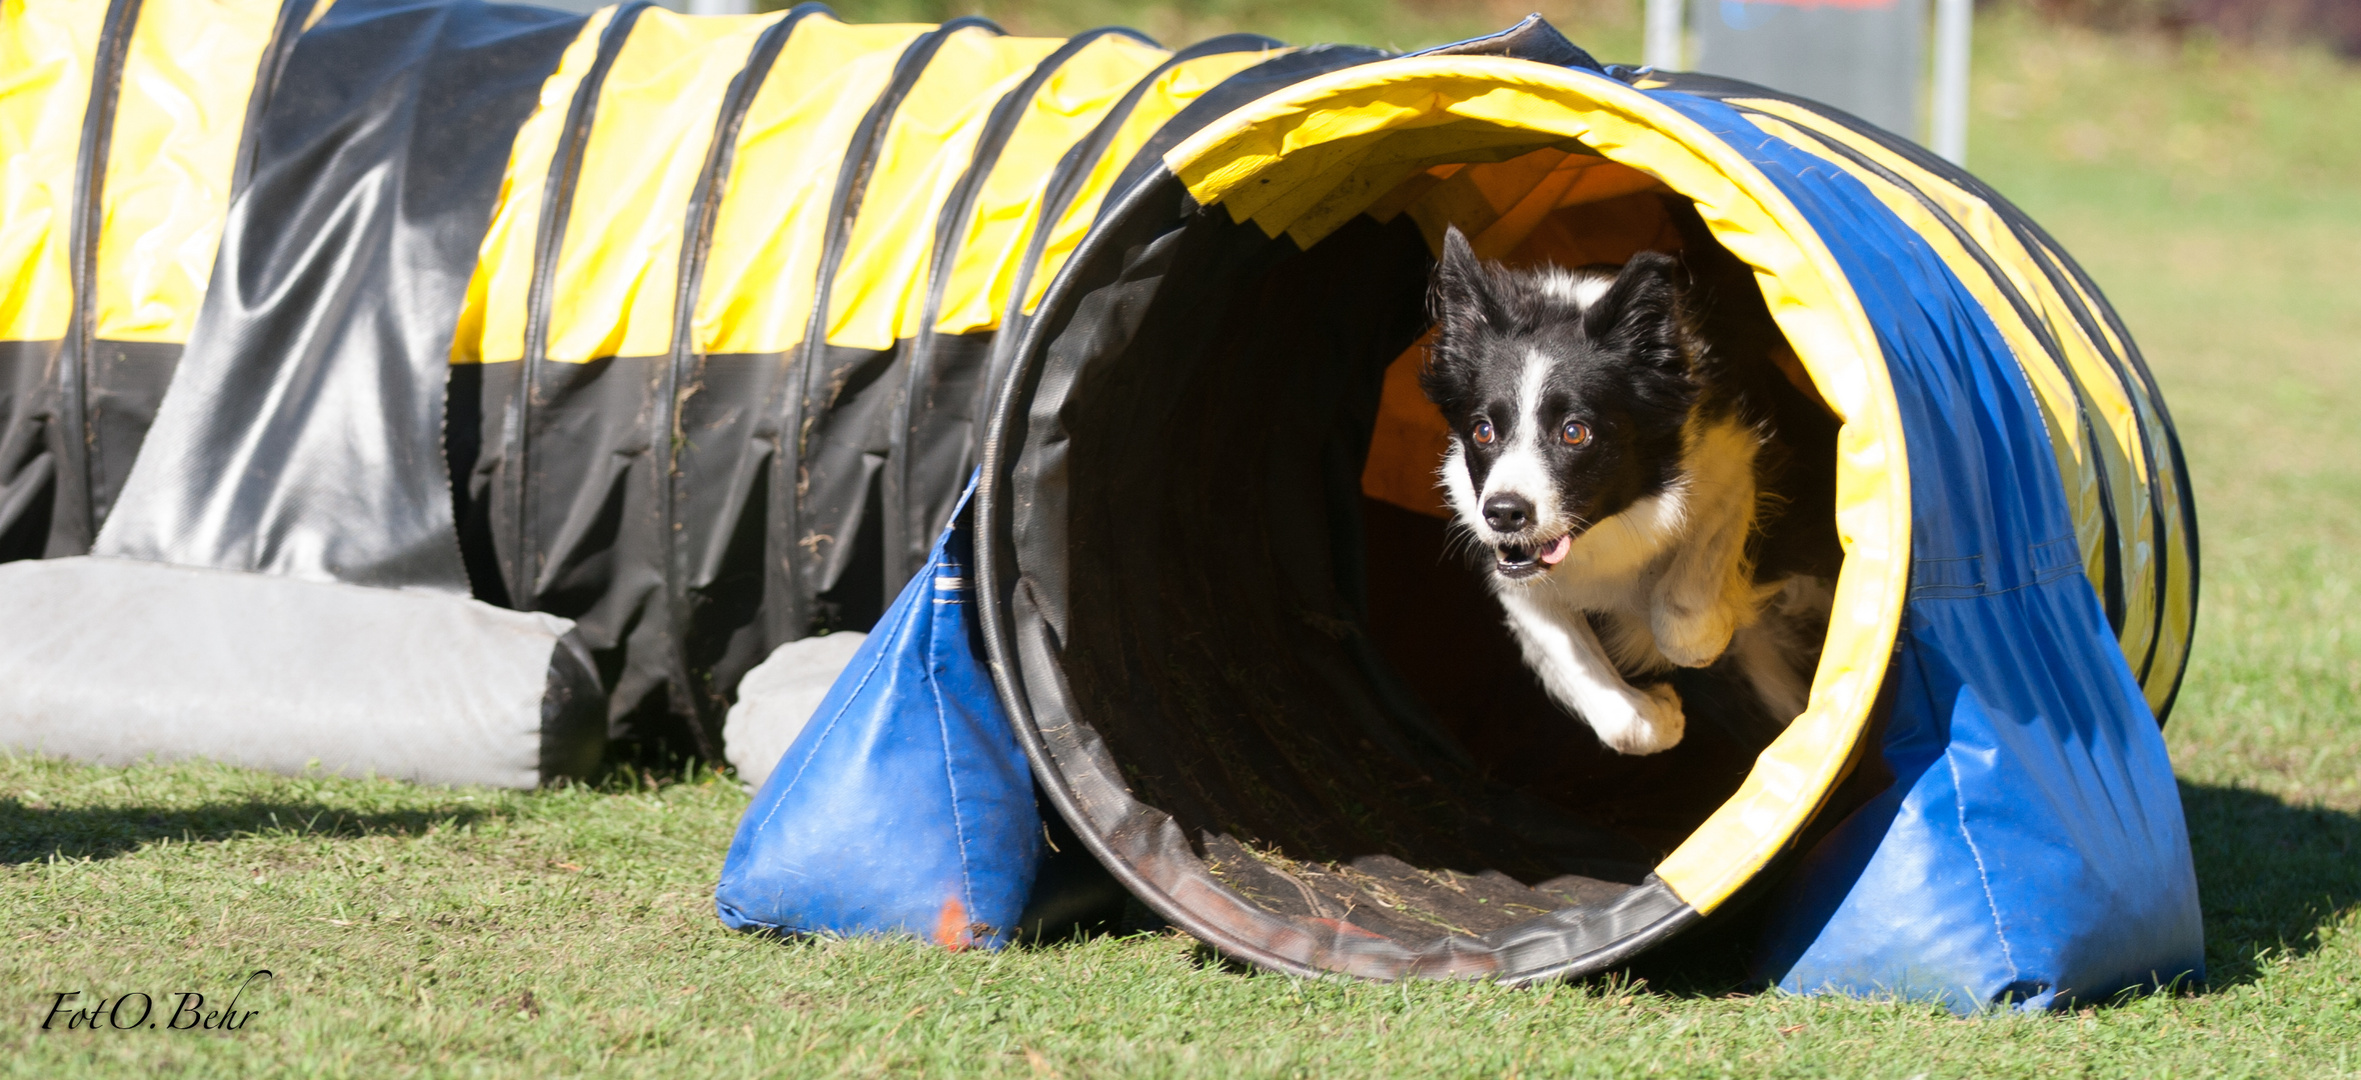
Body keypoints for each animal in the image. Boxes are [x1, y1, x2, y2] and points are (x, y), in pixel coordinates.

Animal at [1416, 223, 1841, 751]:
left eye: (1575, 432)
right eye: (1482, 431)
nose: (1504, 513)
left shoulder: (1737, 456)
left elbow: (1685, 623)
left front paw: (1713, 632)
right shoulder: (1510, 571)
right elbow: (1615, 717)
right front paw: (1661, 713)